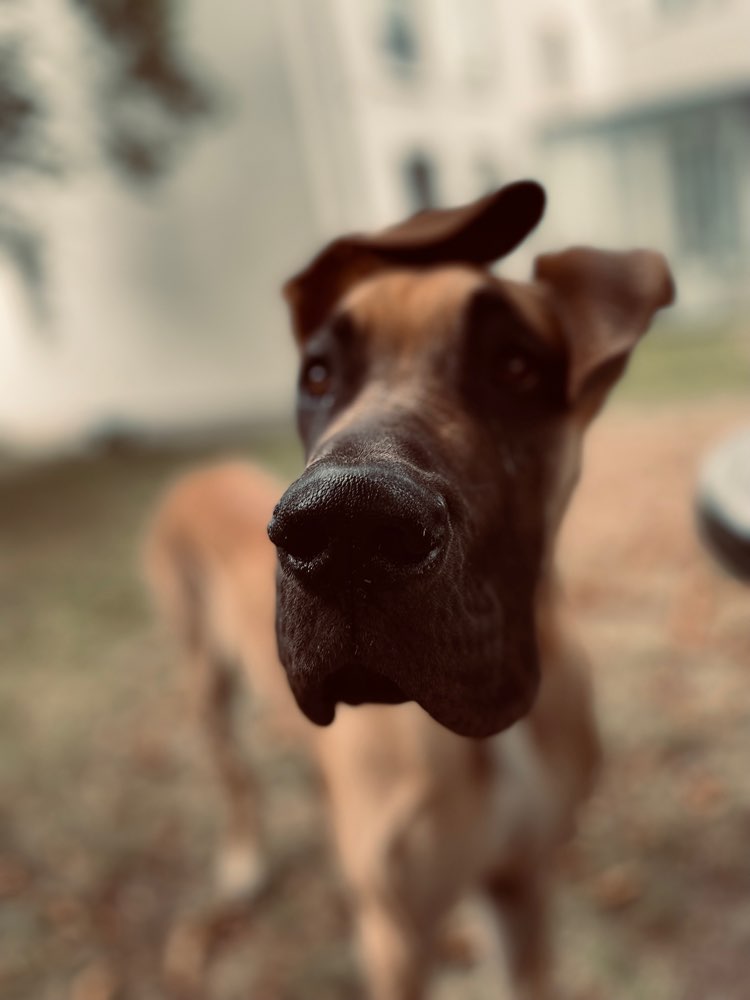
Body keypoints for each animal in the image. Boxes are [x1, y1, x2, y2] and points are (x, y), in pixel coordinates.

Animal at [147, 182, 676, 1000]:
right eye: (318, 375)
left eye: (515, 366)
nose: (344, 528)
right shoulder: (396, 937)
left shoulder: (523, 890)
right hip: (204, 674)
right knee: (233, 775)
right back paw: (243, 858)